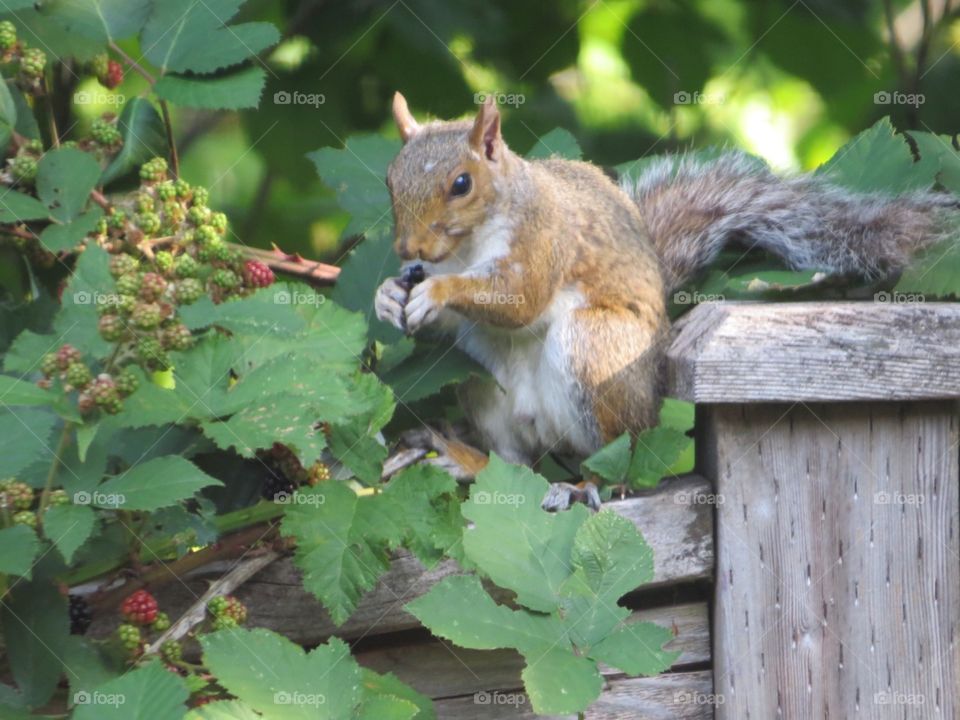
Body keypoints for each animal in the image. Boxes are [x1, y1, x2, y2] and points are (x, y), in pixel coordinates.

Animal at [375, 92, 958, 509]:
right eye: (389, 179)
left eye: (461, 183)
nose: (407, 249)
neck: (465, 248)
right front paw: (388, 296)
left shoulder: (545, 241)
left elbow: (520, 299)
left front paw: (440, 292)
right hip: (481, 382)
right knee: (513, 465)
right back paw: (465, 459)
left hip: (597, 350)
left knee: (616, 459)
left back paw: (584, 487)